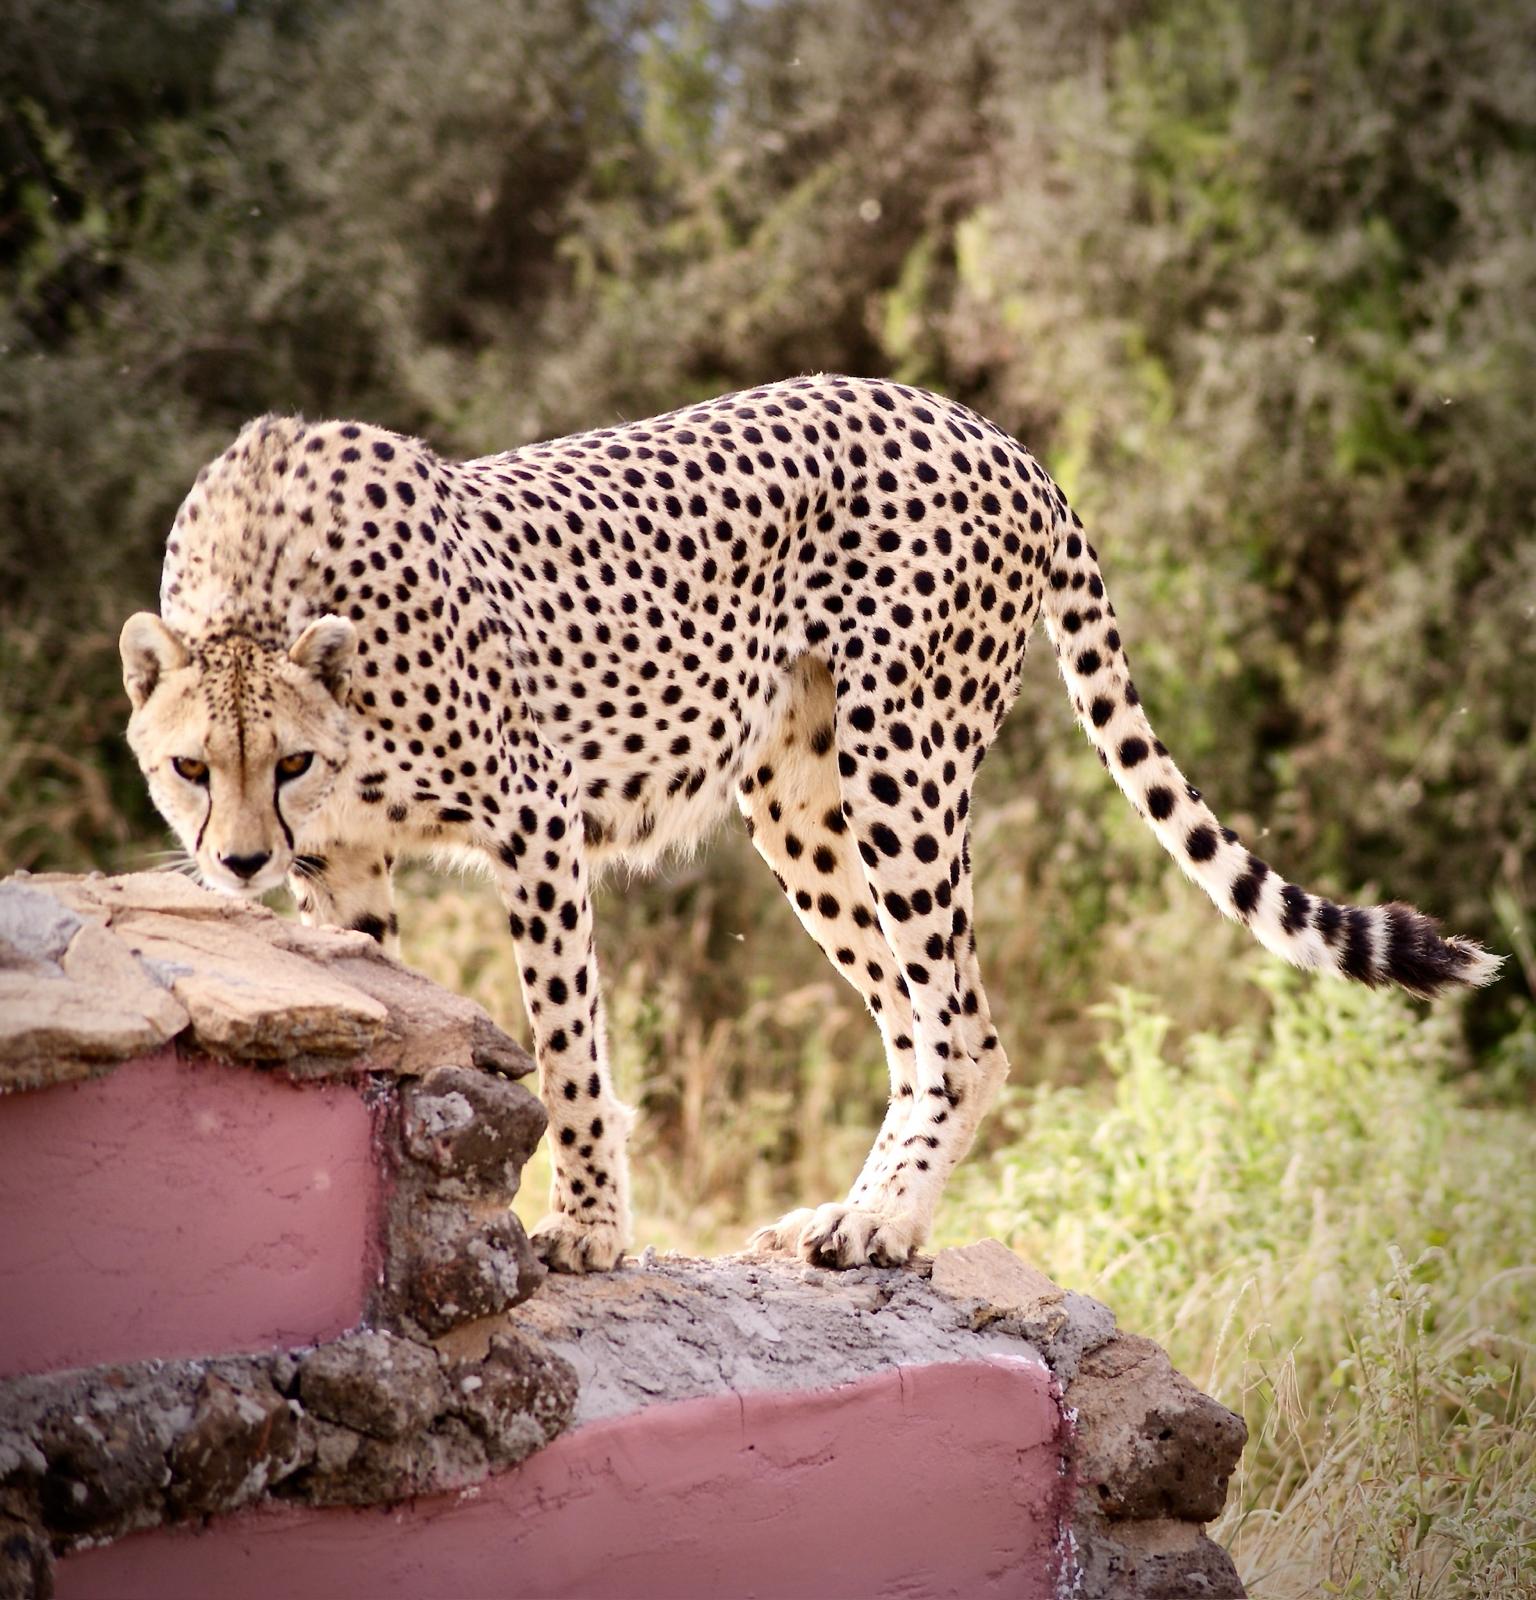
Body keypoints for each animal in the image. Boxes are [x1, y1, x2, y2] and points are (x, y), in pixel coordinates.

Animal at [123, 374, 1497, 1273]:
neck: (265, 594)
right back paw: (850, 1213)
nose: (237, 860)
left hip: (901, 760)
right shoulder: (346, 863)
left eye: (289, 760)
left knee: (964, 1025)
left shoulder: (536, 820)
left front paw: (589, 1228)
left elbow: (570, 1043)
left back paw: (885, 1223)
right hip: (798, 800)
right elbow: (390, 990)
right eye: (191, 767)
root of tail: (990, 428)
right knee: (915, 1022)